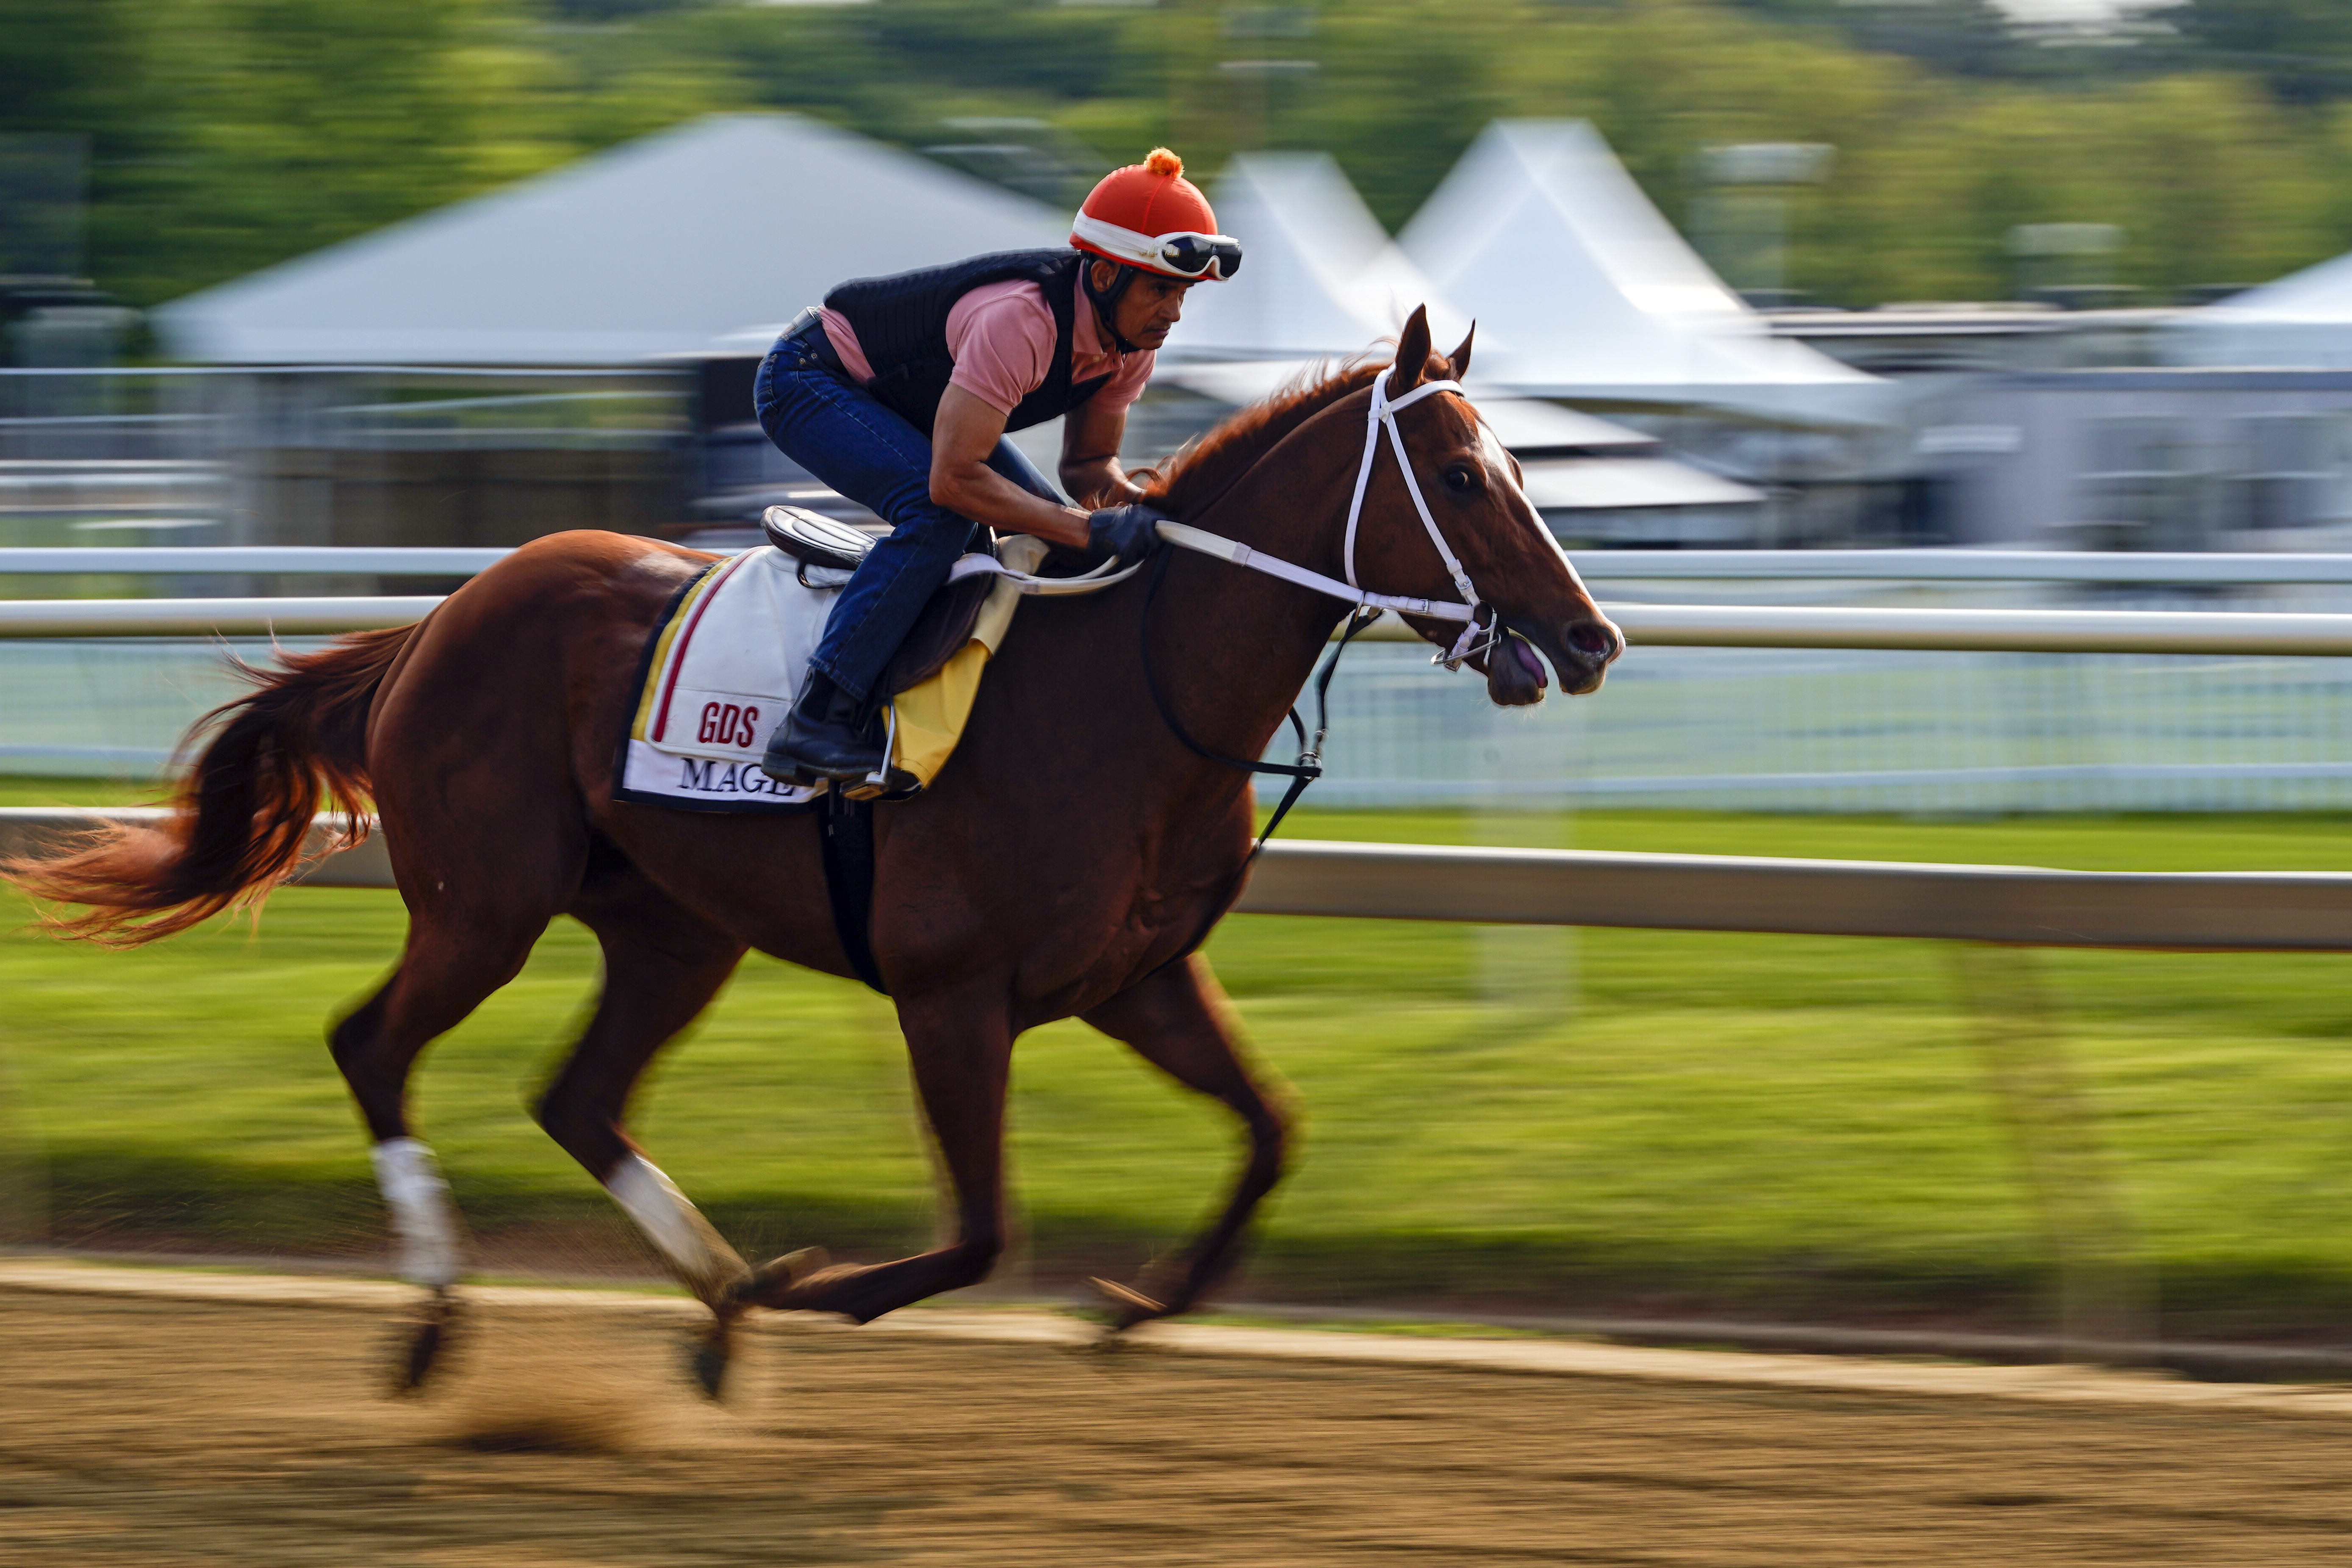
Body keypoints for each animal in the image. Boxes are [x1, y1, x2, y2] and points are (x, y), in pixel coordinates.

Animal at [4, 310, 1618, 1401]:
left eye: (1516, 464)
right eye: (1463, 477)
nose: (1591, 638)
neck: (1130, 682)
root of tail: (439, 618)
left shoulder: (1140, 977)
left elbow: (1271, 1131)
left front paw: (1126, 1310)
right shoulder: (952, 994)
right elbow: (979, 1232)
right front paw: (827, 1289)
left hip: (672, 926)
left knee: (577, 1097)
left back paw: (718, 1298)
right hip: (485, 903)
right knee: (373, 1047)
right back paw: (445, 1317)